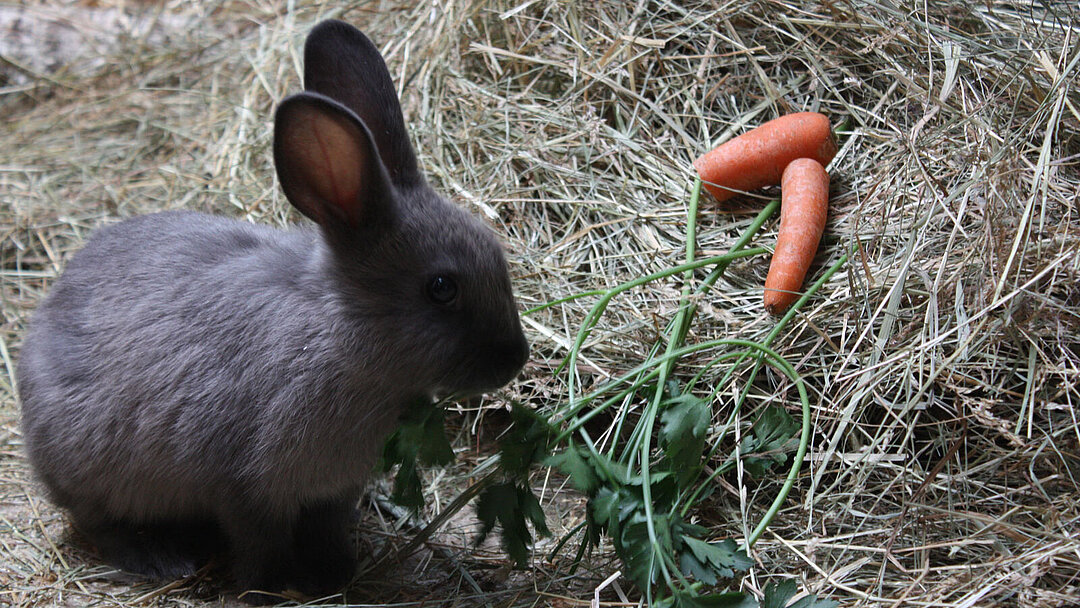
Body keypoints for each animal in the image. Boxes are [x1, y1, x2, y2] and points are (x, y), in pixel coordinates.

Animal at [13, 20, 527, 604]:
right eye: (441, 288)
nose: (516, 358)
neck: (339, 335)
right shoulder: (246, 489)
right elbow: (259, 545)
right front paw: (269, 589)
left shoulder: (332, 492)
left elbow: (327, 531)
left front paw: (335, 574)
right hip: (91, 473)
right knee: (101, 524)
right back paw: (160, 559)